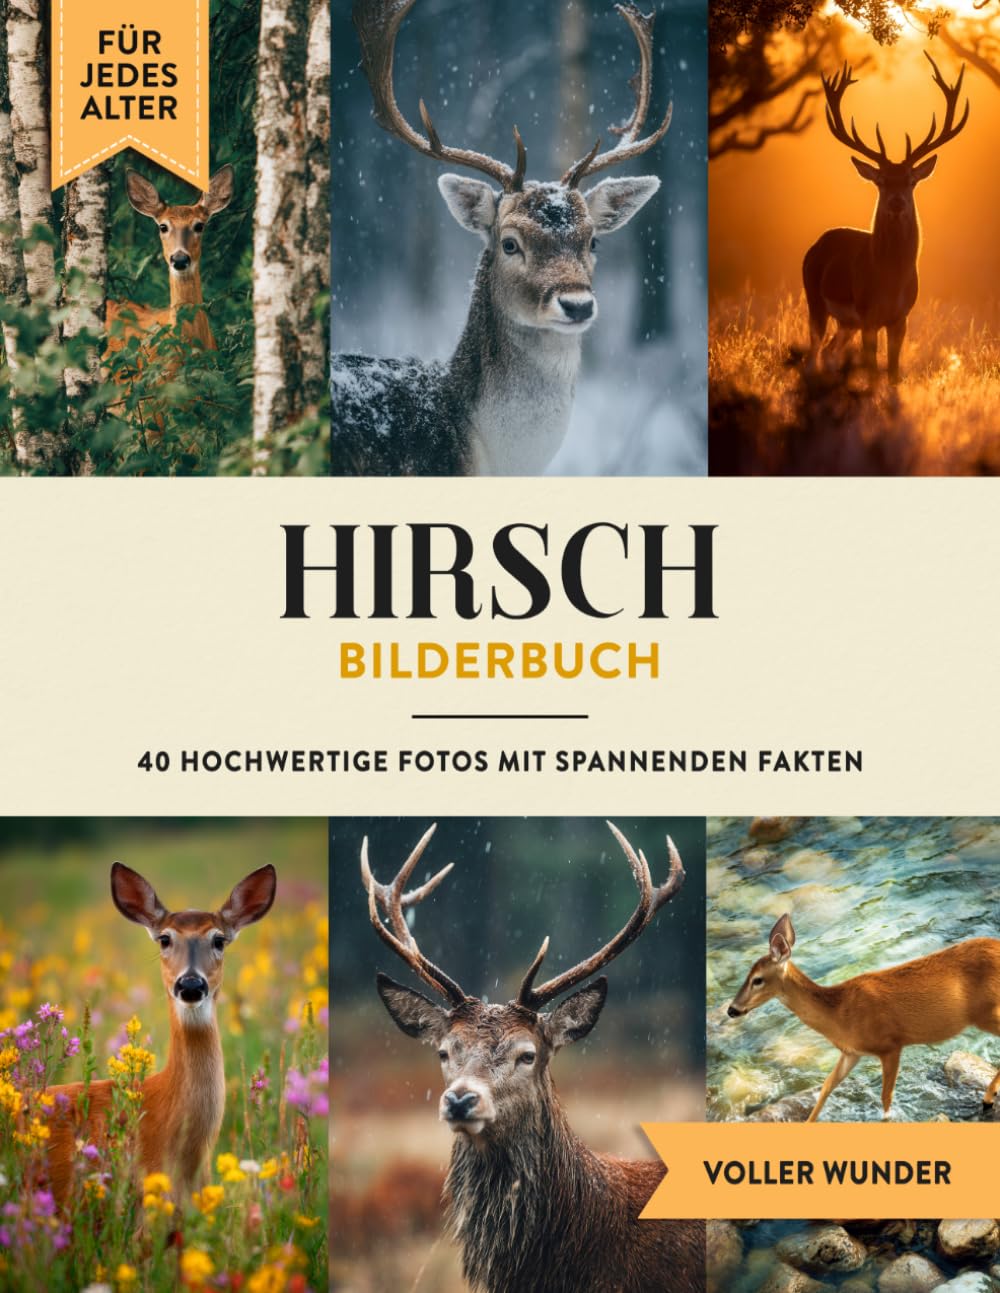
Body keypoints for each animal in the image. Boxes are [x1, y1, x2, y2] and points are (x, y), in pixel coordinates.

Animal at [726, 913, 1000, 1123]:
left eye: (757, 980)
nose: (732, 1009)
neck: (840, 1014)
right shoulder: (851, 1052)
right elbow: (825, 1088)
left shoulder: (890, 1045)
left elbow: (886, 1098)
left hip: (985, 1012)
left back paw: (987, 1099)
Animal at [803, 54, 969, 385]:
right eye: (881, 180)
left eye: (910, 180)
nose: (896, 202)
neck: (890, 281)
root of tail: (816, 245)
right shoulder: (868, 315)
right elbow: (872, 371)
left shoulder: (900, 317)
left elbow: (892, 372)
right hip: (814, 298)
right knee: (813, 352)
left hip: (847, 323)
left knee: (828, 352)